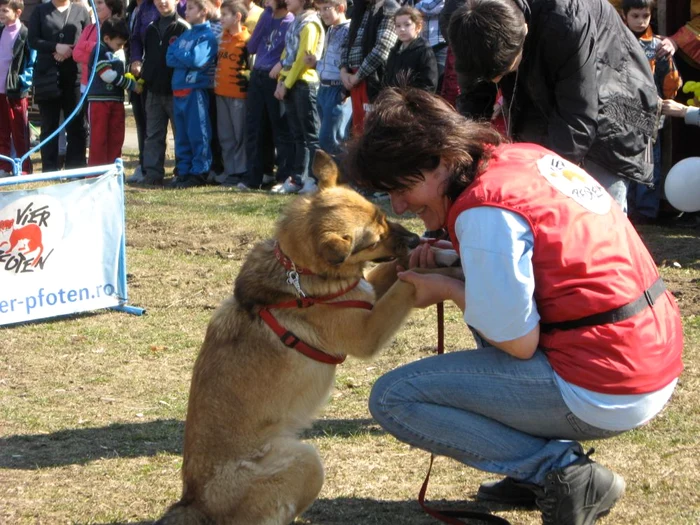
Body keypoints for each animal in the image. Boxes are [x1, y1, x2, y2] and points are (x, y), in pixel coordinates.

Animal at [156, 151, 464, 524]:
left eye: (383, 217)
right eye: (373, 238)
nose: (417, 239)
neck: (298, 273)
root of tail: (195, 501)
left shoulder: (365, 291)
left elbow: (395, 270)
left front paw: (441, 254)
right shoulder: (368, 329)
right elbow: (408, 280)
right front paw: (442, 268)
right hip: (307, 461)